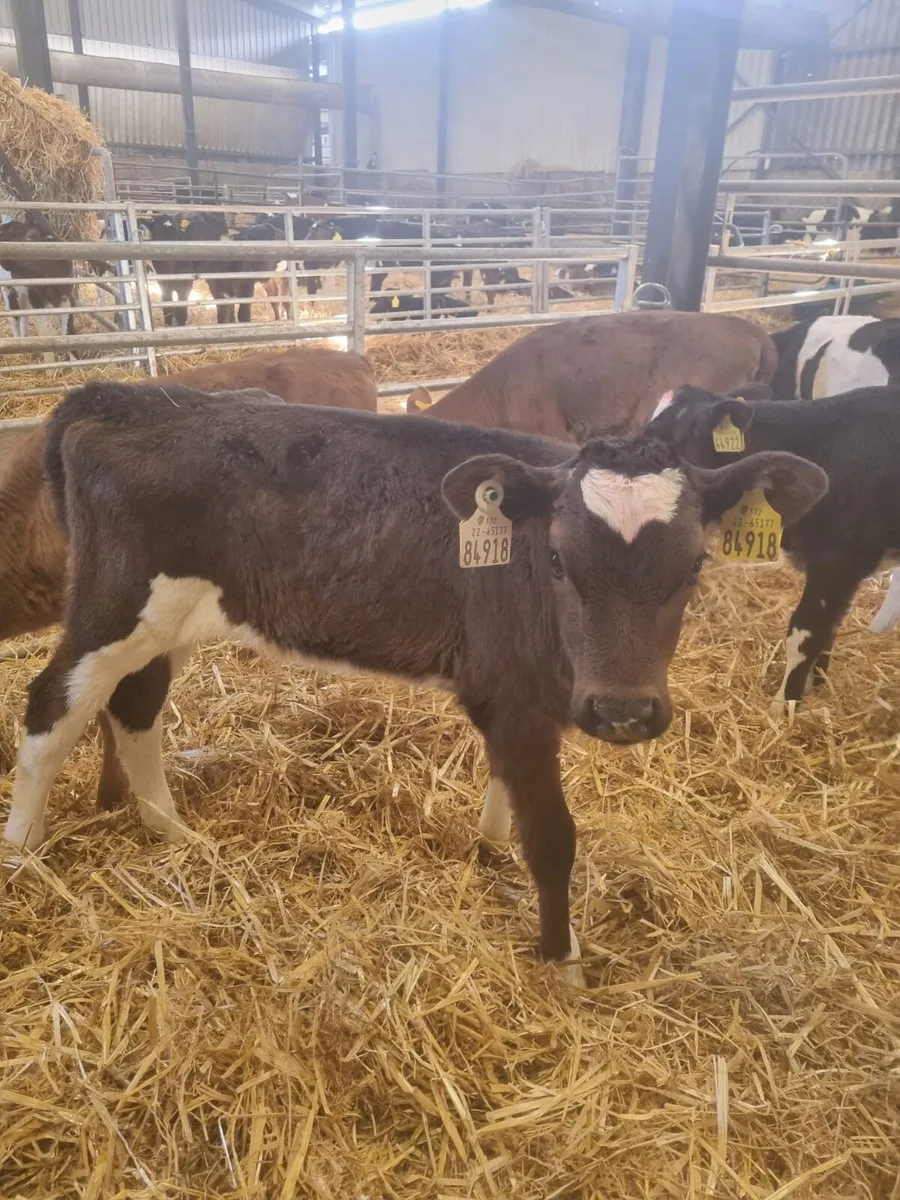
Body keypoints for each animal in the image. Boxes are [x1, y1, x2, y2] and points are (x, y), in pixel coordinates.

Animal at [646, 384, 900, 708]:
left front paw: (785, 704)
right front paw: (815, 685)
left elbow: (805, 632)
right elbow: (828, 629)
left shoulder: (837, 562)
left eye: (672, 442)